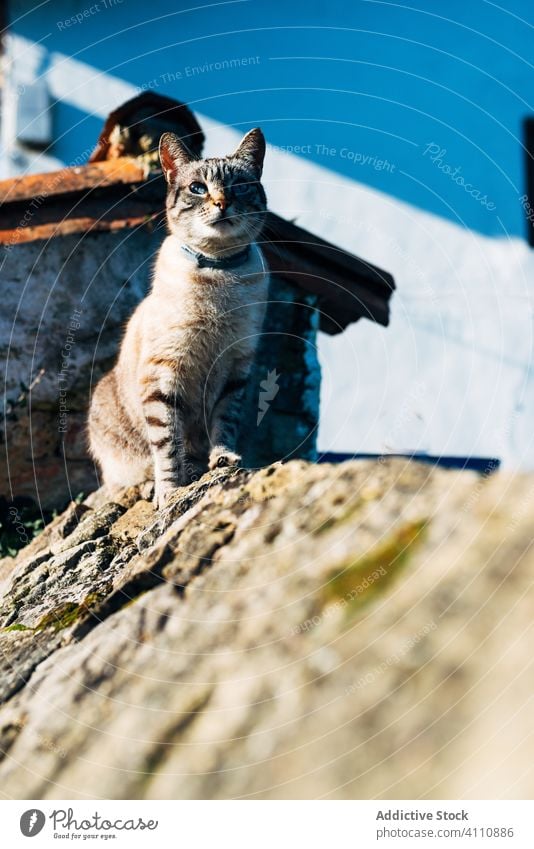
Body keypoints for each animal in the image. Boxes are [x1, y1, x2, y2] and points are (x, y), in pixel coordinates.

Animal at [90, 128, 272, 506]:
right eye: (198, 188)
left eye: (239, 186)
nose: (222, 203)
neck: (220, 273)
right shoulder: (164, 374)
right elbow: (168, 445)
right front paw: (171, 492)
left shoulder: (235, 368)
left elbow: (224, 422)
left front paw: (222, 460)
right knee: (122, 482)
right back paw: (149, 487)